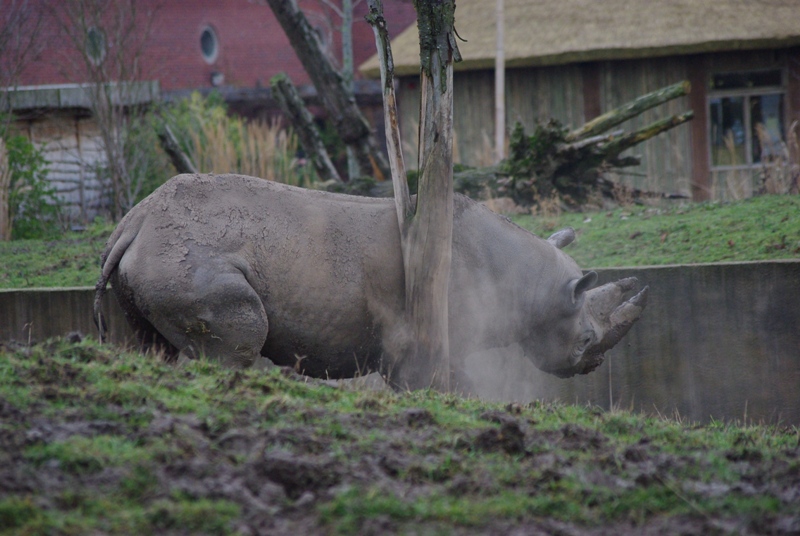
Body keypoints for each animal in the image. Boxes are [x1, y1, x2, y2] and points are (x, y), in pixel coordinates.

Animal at [94, 173, 647, 389]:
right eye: (586, 338)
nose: (592, 366)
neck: (531, 283)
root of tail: (134, 221)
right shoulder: (423, 339)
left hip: (154, 260)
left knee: (153, 345)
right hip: (189, 258)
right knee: (237, 341)